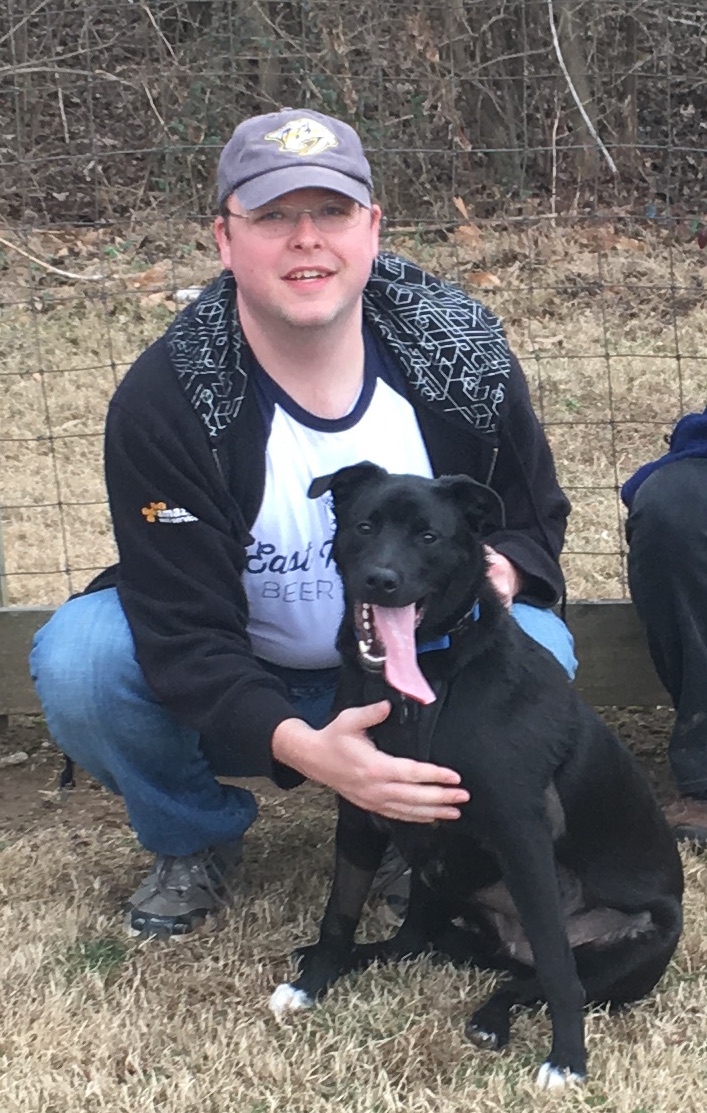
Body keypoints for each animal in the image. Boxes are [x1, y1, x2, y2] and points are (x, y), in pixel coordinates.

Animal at [268, 460, 681, 1086]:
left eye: (428, 536)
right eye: (364, 526)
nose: (381, 580)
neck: (423, 683)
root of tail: (507, 949)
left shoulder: (523, 838)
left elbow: (559, 970)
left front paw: (568, 1059)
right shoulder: (360, 811)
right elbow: (338, 914)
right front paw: (313, 980)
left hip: (644, 938)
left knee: (540, 979)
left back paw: (494, 1017)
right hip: (438, 882)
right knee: (414, 941)